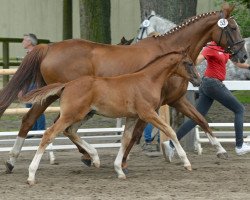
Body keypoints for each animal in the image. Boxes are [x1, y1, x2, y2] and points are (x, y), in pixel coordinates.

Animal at [21, 50, 195, 184]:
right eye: (189, 63)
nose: (198, 79)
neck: (147, 80)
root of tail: (67, 85)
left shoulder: (132, 117)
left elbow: (125, 139)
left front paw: (119, 171)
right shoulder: (147, 113)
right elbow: (170, 131)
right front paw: (186, 163)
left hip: (83, 115)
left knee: (70, 131)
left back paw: (95, 158)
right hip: (71, 115)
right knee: (49, 134)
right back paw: (31, 175)